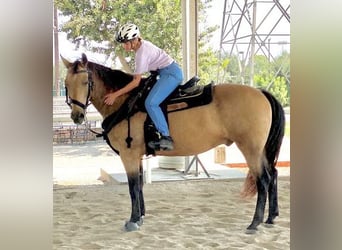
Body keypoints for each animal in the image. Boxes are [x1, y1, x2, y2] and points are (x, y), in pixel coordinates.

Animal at [60, 53, 284, 234]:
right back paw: (271, 218)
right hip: (261, 150)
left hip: (250, 149)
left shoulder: (128, 154)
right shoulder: (136, 156)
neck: (126, 102)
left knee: (263, 179)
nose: (77, 116)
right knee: (273, 174)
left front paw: (133, 220)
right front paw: (140, 217)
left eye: (85, 82)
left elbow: (133, 187)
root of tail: (261, 93)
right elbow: (140, 185)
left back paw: (254, 223)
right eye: (66, 83)